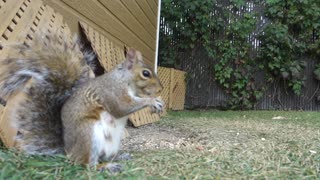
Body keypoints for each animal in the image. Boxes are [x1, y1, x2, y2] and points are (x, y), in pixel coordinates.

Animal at [0, 31, 164, 173]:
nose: (161, 89)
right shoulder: (112, 91)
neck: (125, 80)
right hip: (88, 133)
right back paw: (106, 167)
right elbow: (121, 107)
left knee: (103, 156)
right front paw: (153, 101)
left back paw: (119, 157)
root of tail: (69, 152)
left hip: (111, 144)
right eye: (145, 73)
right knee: (86, 165)